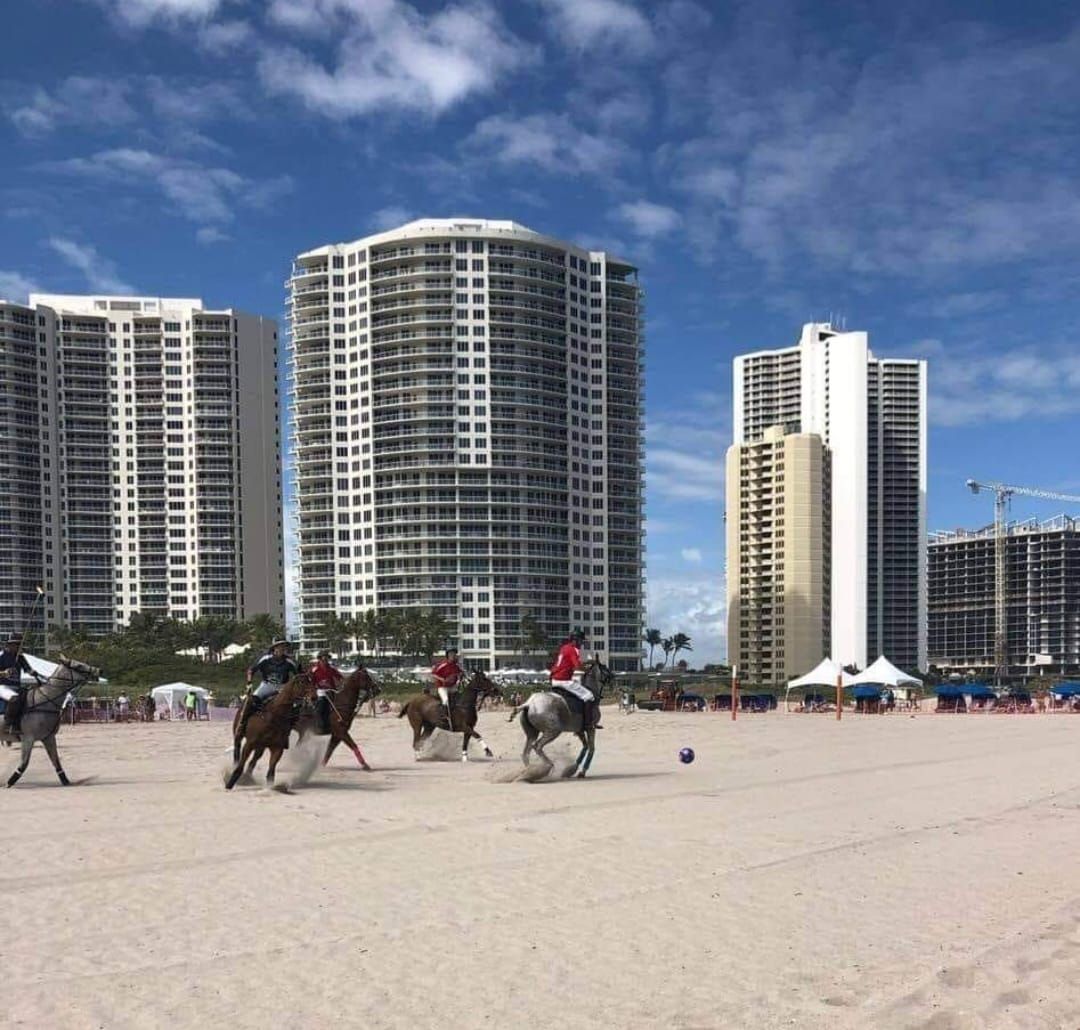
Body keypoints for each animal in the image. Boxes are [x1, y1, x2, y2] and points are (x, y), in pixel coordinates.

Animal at [3, 656, 100, 790]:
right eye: (78, 666)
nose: (98, 671)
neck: (45, 700)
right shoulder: (28, 737)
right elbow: (24, 763)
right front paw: (9, 783)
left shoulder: (48, 737)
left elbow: (56, 761)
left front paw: (66, 781)